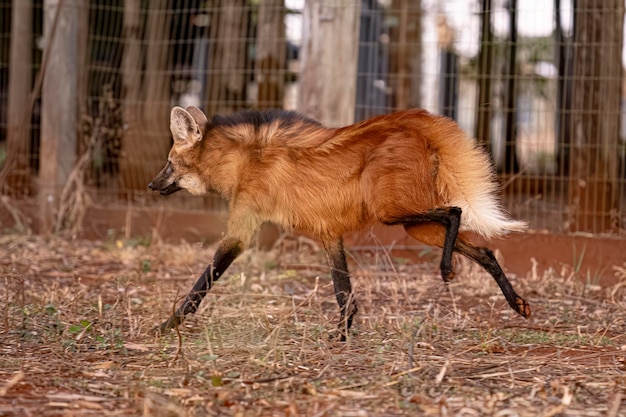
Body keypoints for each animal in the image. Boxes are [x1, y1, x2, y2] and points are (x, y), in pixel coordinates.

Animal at [149, 105, 528, 338]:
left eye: (168, 163)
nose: (152, 185)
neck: (240, 162)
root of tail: (413, 127)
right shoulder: (329, 233)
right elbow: (344, 292)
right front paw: (342, 335)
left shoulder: (243, 229)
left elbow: (202, 283)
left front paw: (168, 324)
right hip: (417, 227)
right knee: (485, 251)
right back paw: (517, 303)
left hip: (392, 213)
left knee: (454, 212)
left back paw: (447, 269)